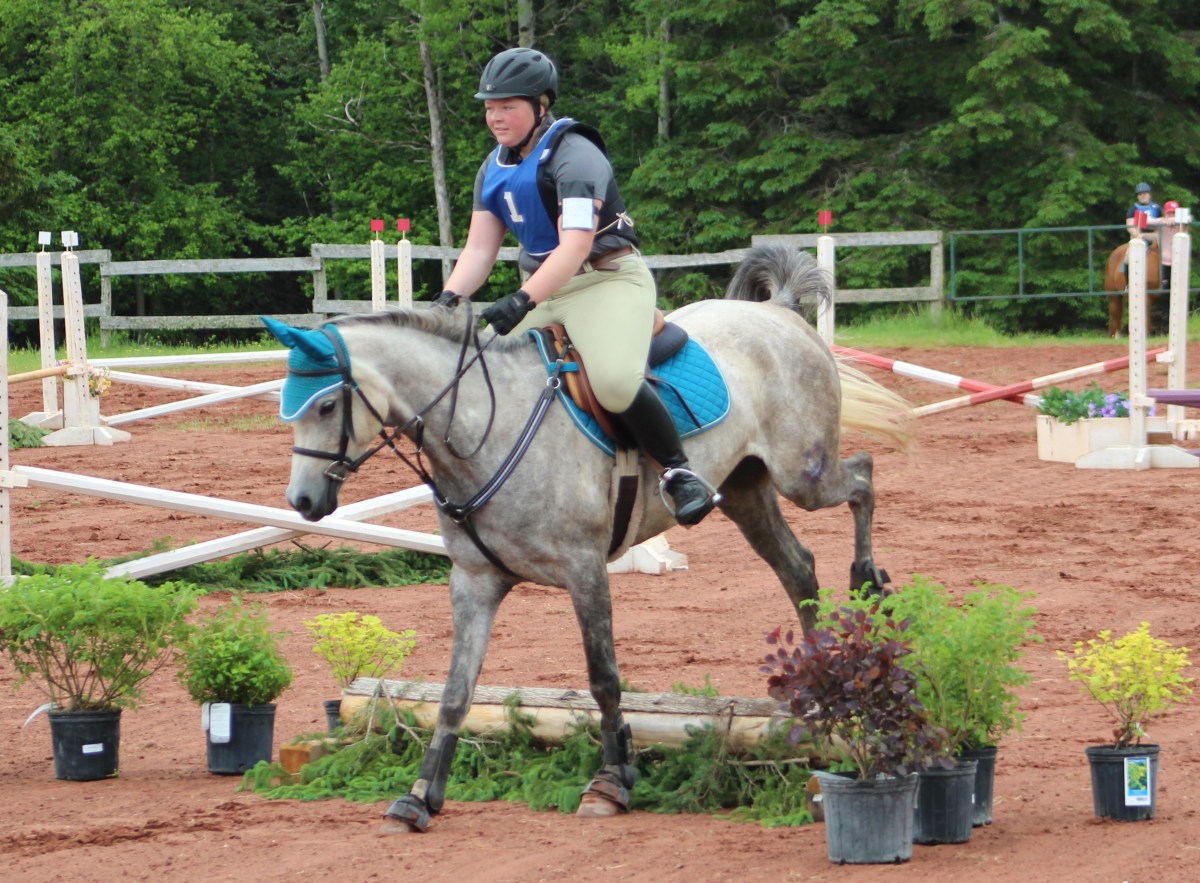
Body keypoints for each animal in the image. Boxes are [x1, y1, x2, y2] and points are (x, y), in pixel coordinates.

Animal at [265, 244, 915, 833]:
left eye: (327, 405)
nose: (303, 503)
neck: (484, 429)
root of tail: (777, 312)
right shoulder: (474, 582)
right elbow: (455, 691)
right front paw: (421, 796)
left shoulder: (585, 570)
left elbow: (603, 679)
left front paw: (612, 781)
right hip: (747, 492)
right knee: (798, 566)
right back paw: (820, 677)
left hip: (802, 473)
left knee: (861, 477)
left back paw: (869, 581)